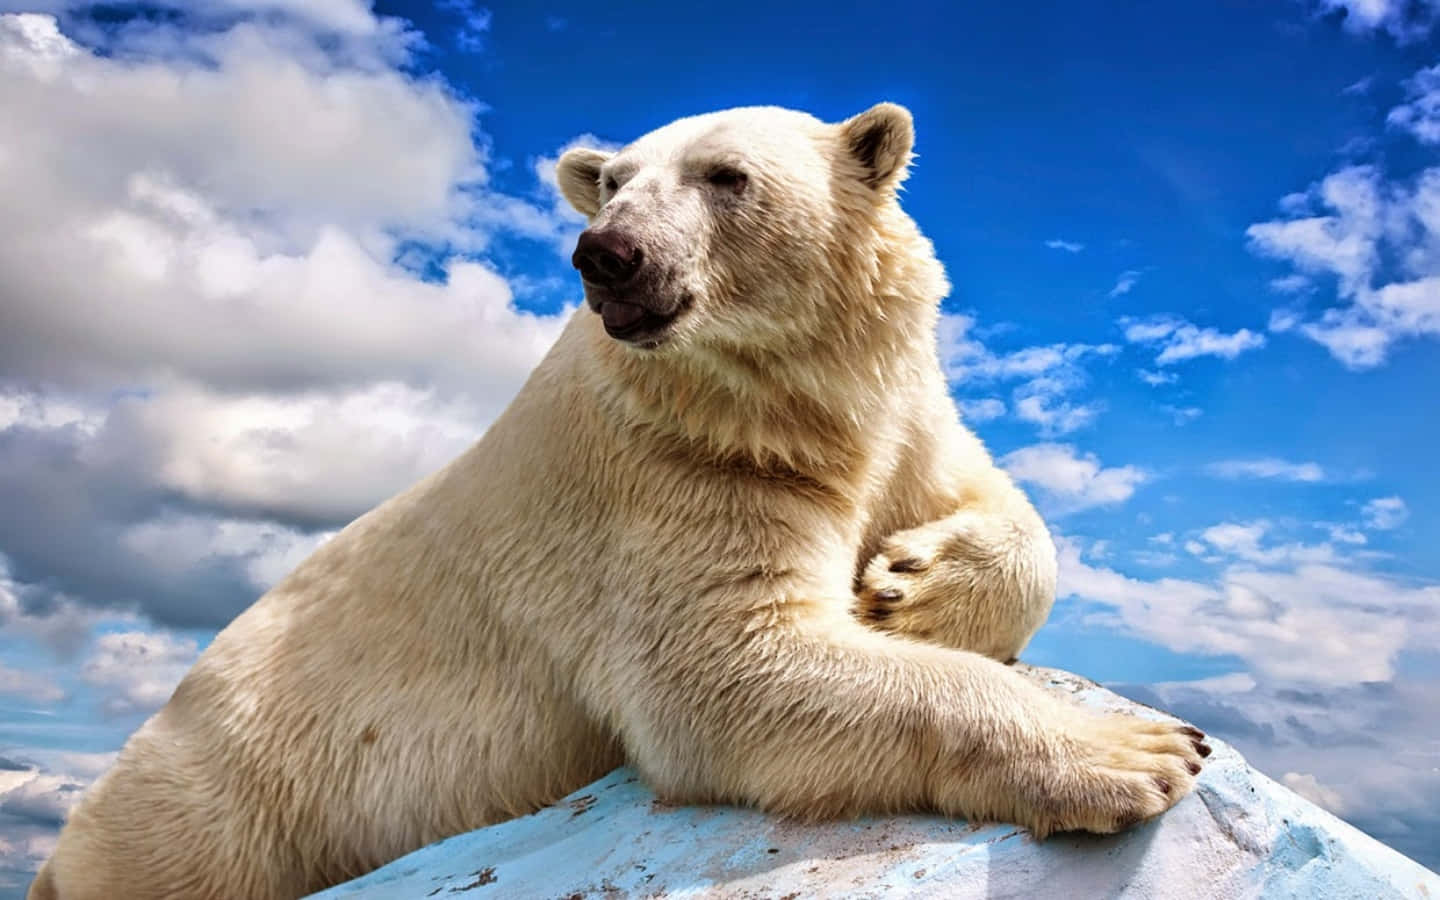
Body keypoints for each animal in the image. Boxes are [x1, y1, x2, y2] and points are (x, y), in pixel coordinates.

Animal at [29, 103, 1208, 900]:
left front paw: (907, 587)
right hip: (223, 814)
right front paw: (1139, 753)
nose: (609, 255)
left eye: (726, 175)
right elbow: (727, 671)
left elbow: (992, 503)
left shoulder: (900, 418)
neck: (776, 408)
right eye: (613, 183)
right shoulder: (671, 475)